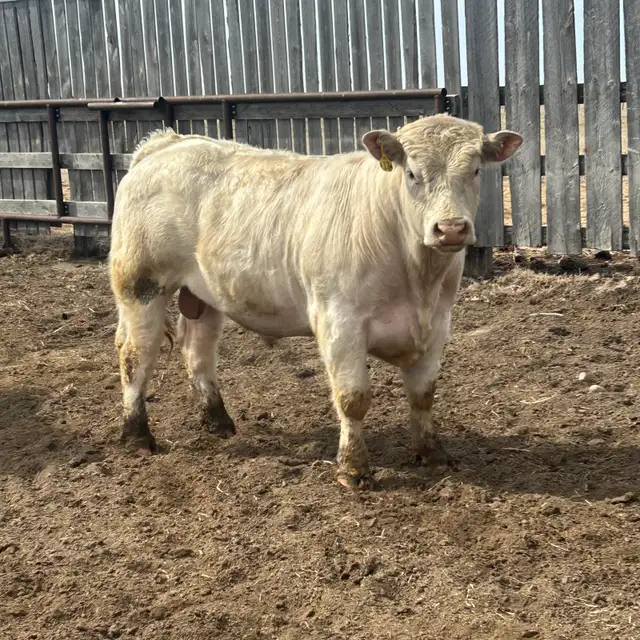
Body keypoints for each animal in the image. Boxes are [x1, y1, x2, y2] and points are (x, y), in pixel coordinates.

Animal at [109, 114, 522, 489]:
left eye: (475, 170)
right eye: (412, 174)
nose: (450, 229)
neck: (416, 277)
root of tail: (167, 143)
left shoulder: (437, 323)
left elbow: (423, 394)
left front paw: (432, 454)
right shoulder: (339, 320)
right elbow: (353, 397)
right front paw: (353, 469)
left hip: (203, 294)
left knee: (198, 352)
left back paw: (219, 421)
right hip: (140, 285)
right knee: (135, 355)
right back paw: (138, 434)